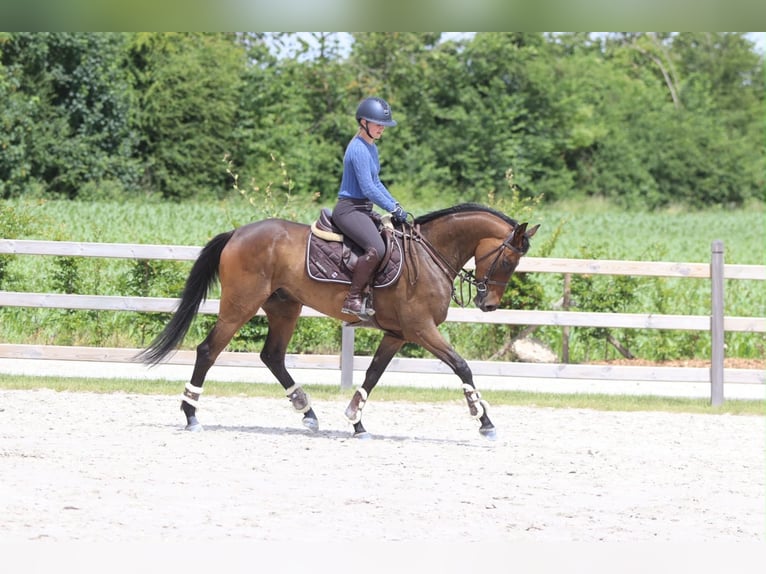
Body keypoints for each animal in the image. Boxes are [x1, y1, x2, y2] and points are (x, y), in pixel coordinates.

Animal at [137, 203, 539, 439]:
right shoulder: (421, 329)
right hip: (240, 306)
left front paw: (355, 419)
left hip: (285, 308)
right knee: (208, 350)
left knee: (272, 357)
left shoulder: (397, 334)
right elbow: (462, 366)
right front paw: (483, 418)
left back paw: (307, 411)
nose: (489, 304)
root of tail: (238, 233)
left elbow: (372, 375)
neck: (429, 255)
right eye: (508, 260)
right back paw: (191, 414)